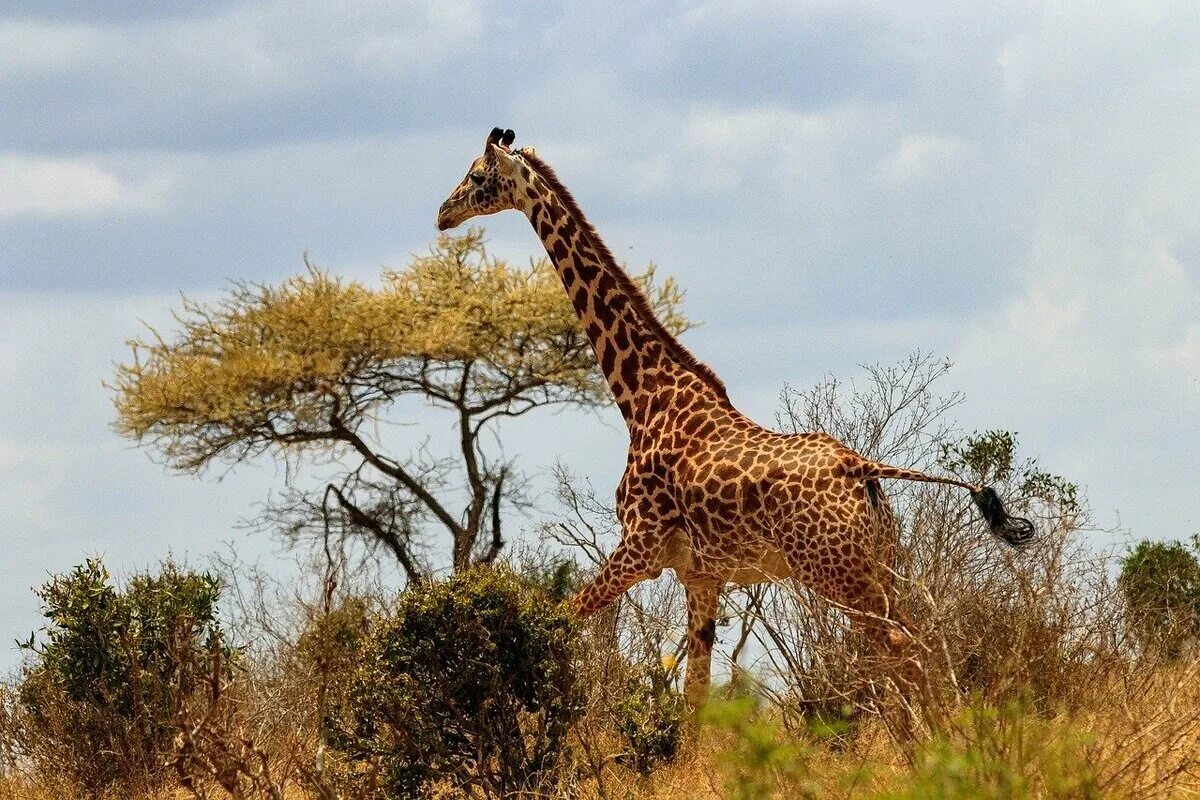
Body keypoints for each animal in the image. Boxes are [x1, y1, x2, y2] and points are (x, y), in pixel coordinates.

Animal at [436, 130, 1036, 705]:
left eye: (478, 175)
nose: (443, 212)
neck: (643, 397)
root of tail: (862, 468)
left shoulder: (640, 547)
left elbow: (557, 622)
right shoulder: (702, 576)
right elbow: (694, 697)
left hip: (835, 570)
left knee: (903, 649)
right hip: (879, 563)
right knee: (909, 646)